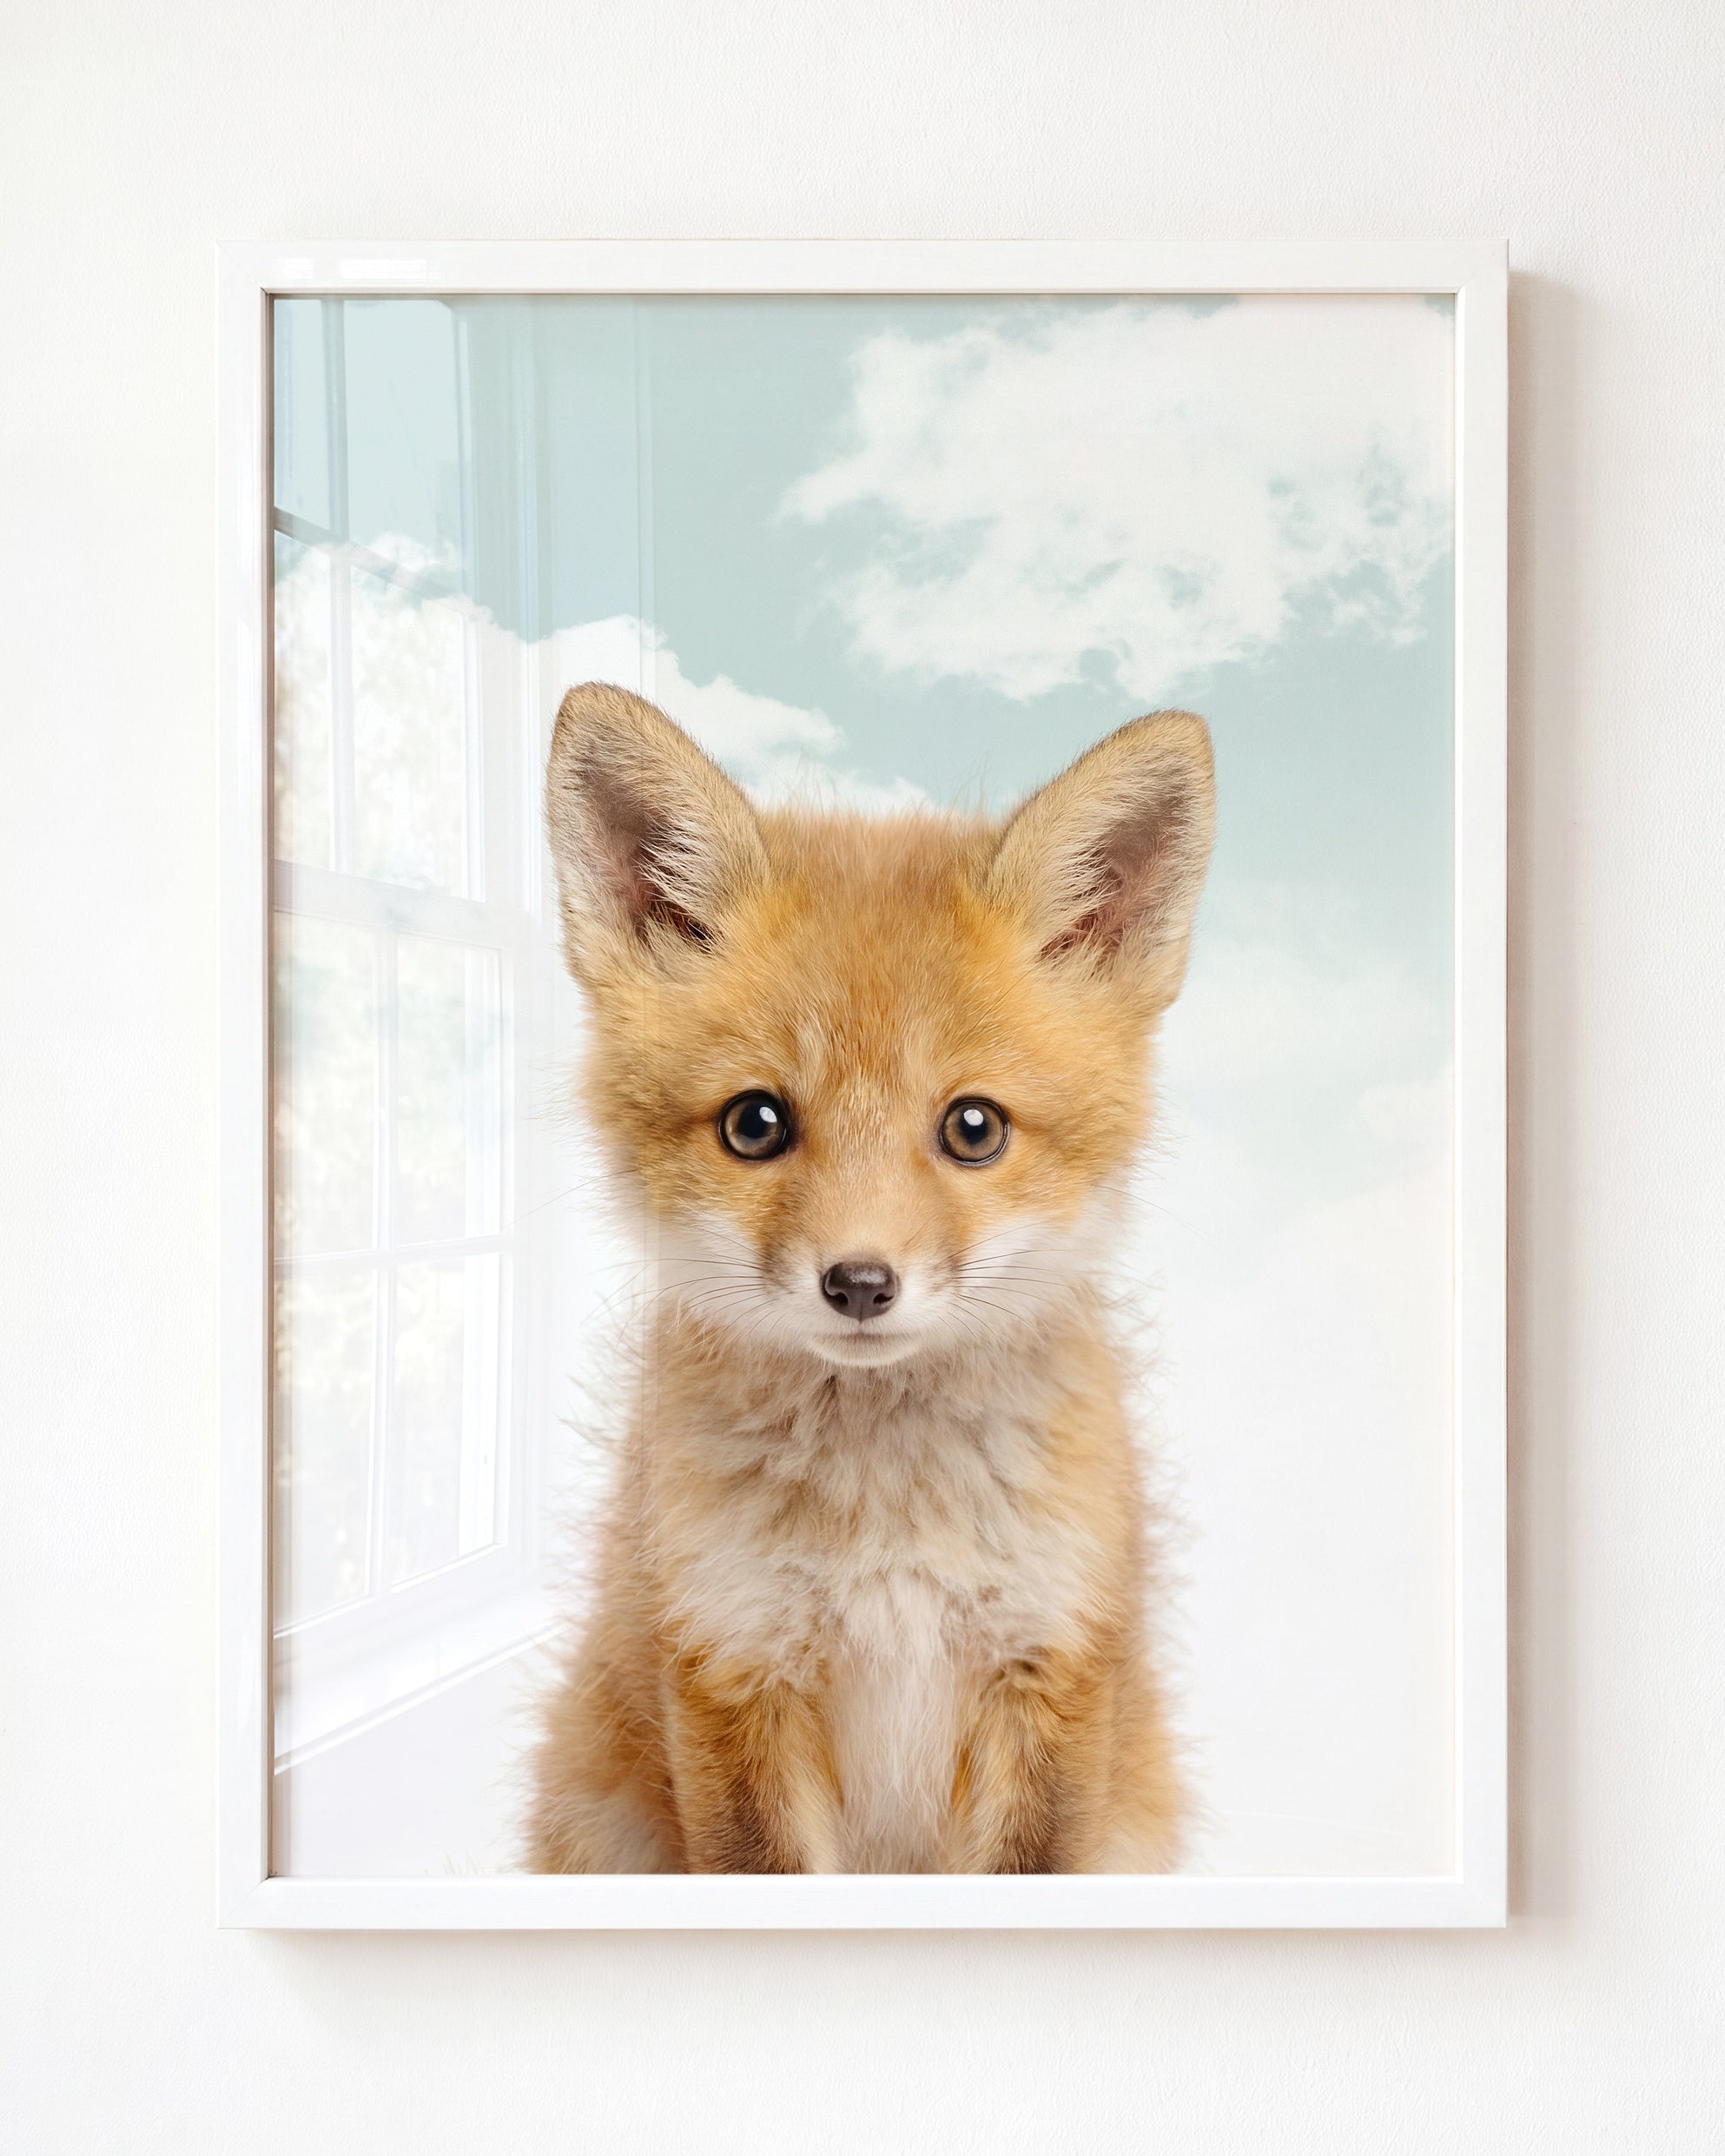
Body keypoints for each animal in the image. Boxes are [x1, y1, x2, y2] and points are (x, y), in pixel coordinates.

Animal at [523, 682, 1215, 1874]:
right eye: (755, 1123)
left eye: (974, 1128)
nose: (857, 1283)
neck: (888, 1532)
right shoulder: (731, 1664)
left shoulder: (1050, 1668)